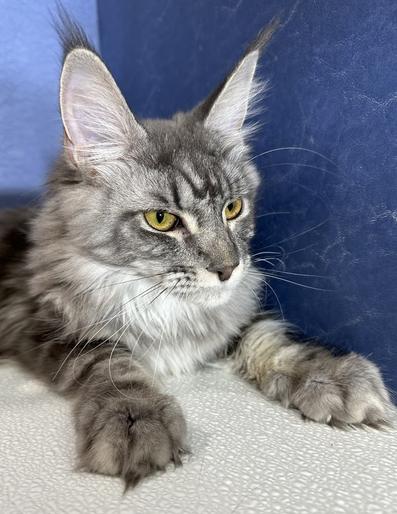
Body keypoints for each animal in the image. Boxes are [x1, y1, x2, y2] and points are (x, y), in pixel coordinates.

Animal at [0, 12, 392, 484]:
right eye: (161, 220)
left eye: (233, 208)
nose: (229, 268)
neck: (167, 311)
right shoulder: (41, 322)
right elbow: (107, 360)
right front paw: (135, 419)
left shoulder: (237, 311)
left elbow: (267, 335)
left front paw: (329, 371)